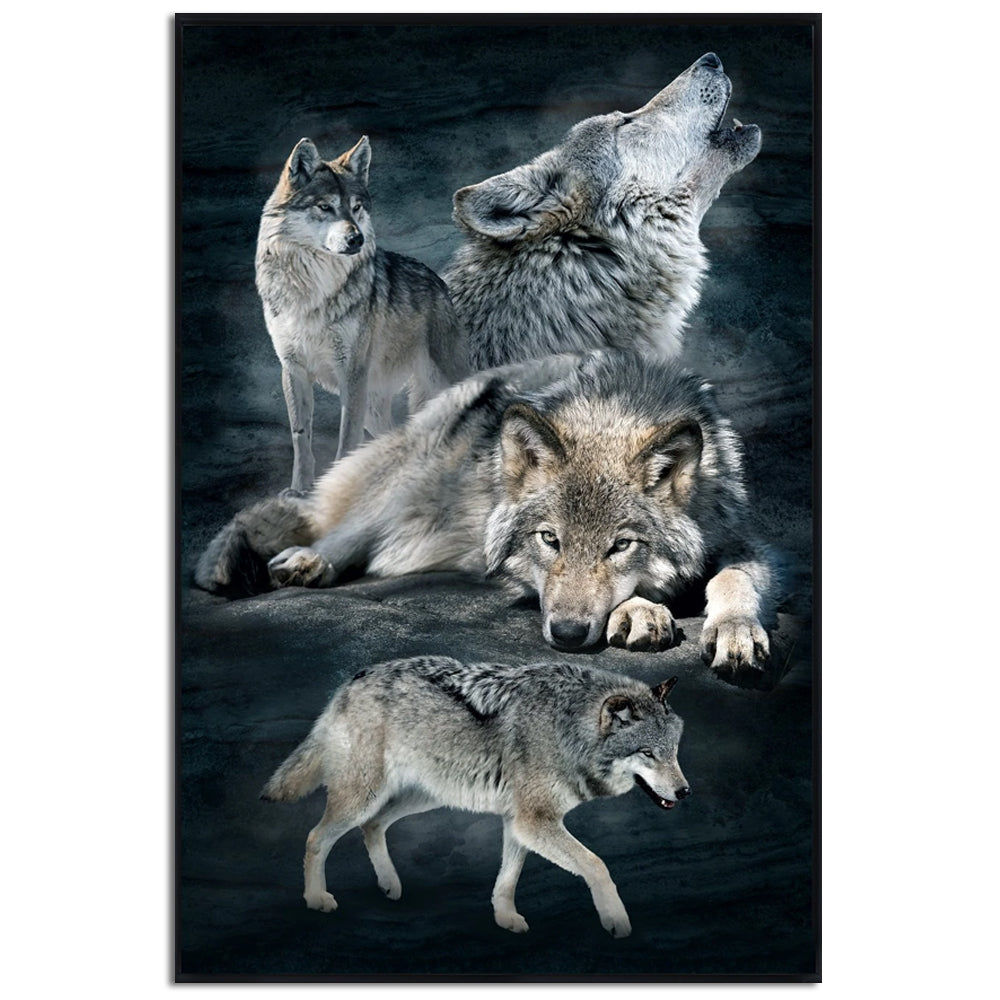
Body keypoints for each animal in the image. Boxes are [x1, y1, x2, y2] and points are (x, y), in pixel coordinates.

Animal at [195, 351, 772, 675]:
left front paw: (735, 629)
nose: (566, 635)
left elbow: (733, 579)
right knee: (339, 527)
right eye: (549, 539)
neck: (616, 410)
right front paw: (642, 611)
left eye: (620, 545)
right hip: (409, 483)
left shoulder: (747, 541)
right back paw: (308, 561)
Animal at [256, 134, 467, 493]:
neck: (314, 292)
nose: (357, 238)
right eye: (324, 207)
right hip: (373, 405)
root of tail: (438, 280)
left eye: (356, 207)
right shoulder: (293, 370)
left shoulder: (351, 373)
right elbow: (301, 438)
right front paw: (299, 490)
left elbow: (346, 440)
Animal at [261, 655, 687, 937]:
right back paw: (317, 898)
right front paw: (616, 920)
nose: (685, 791)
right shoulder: (534, 821)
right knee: (316, 837)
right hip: (364, 795)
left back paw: (390, 885)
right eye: (648, 754)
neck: (567, 728)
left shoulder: (518, 823)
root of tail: (352, 680)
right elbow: (597, 865)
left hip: (424, 796)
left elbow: (508, 880)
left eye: (673, 751)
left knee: (373, 826)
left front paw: (505, 918)